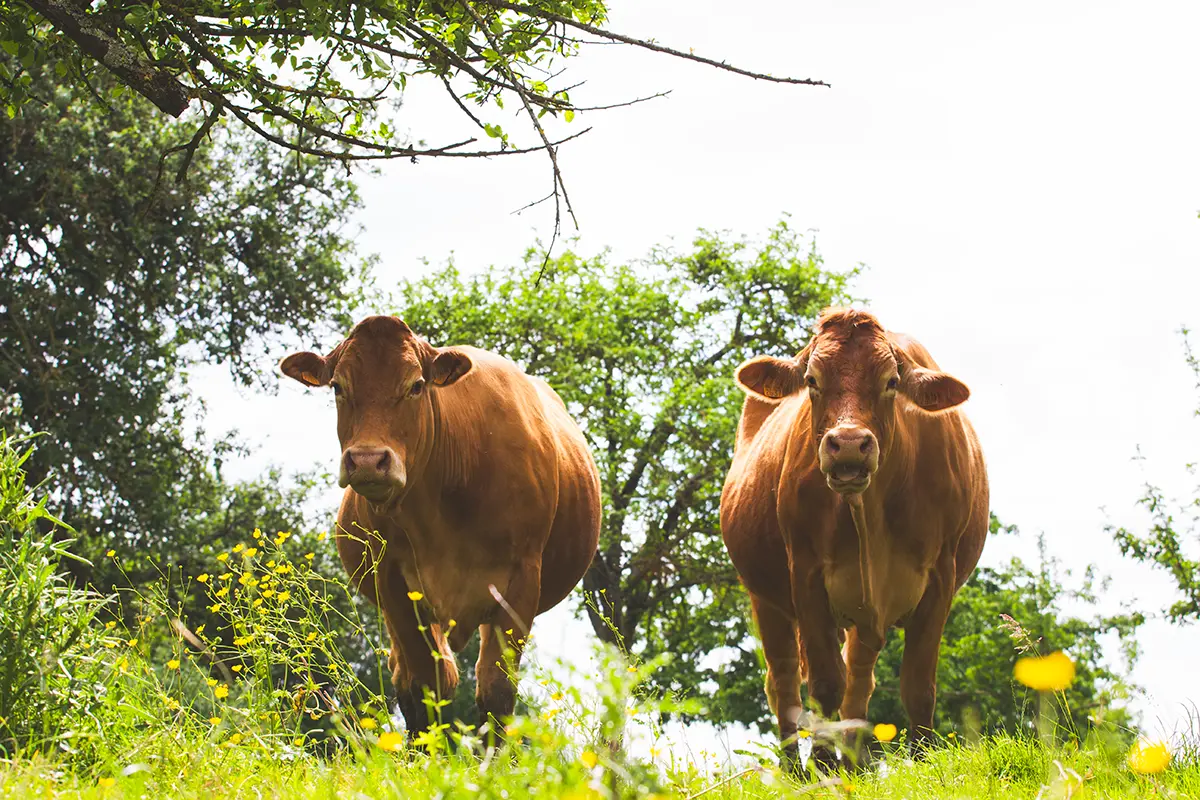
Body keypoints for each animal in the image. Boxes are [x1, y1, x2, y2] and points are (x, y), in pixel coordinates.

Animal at [280, 315, 601, 739]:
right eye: (337, 386)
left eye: (416, 385)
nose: (367, 460)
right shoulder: (394, 582)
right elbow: (426, 684)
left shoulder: (522, 580)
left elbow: (497, 690)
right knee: (410, 675)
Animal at [719, 308, 988, 771]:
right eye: (812, 380)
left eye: (891, 381)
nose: (847, 444)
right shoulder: (805, 574)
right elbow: (826, 682)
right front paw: (823, 765)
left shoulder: (941, 577)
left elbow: (917, 684)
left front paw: (923, 760)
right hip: (765, 596)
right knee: (784, 680)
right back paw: (795, 768)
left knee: (860, 680)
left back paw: (855, 763)